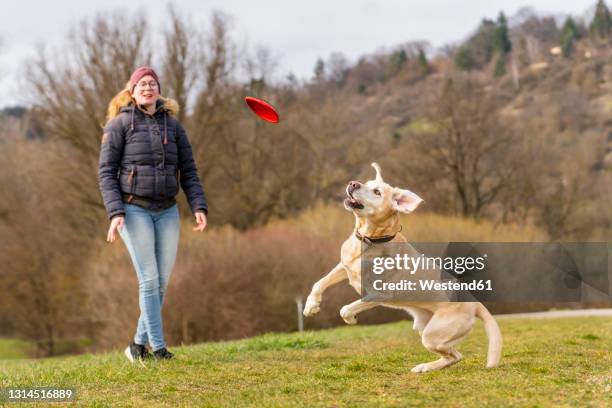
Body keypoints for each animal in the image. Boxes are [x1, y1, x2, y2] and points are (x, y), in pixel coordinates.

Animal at [306, 163, 502, 372]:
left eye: (377, 192)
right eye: (367, 182)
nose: (353, 183)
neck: (370, 239)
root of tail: (474, 302)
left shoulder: (379, 294)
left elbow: (345, 309)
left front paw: (351, 318)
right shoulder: (344, 267)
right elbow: (319, 283)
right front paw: (311, 306)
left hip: (433, 335)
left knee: (455, 355)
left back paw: (425, 367)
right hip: (426, 328)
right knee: (453, 355)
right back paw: (426, 367)